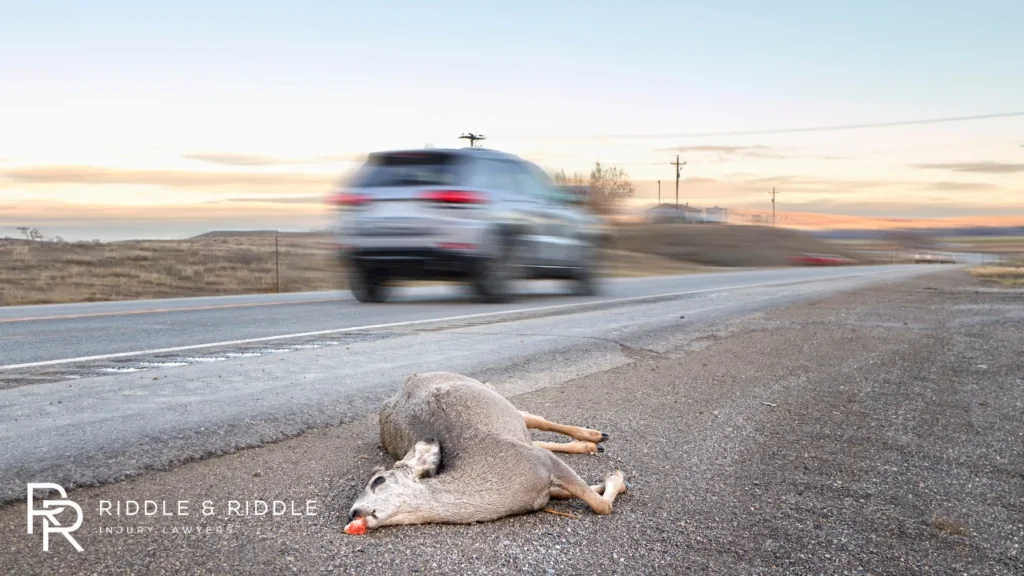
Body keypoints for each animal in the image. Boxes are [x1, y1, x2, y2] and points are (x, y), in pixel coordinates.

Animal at [344, 372, 629, 534]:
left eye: (378, 480)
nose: (353, 512)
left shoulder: (543, 463)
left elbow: (601, 505)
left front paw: (616, 478)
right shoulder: (542, 490)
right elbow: (578, 492)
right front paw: (609, 481)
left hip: (495, 394)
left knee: (536, 419)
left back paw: (594, 436)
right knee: (535, 435)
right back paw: (589, 444)